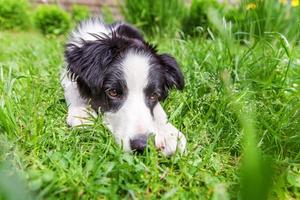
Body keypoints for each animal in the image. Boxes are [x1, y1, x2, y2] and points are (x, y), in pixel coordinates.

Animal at [61, 18, 186, 156]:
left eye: (153, 95)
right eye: (113, 92)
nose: (141, 146)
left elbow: (158, 110)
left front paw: (168, 133)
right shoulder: (67, 74)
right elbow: (74, 88)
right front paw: (82, 114)